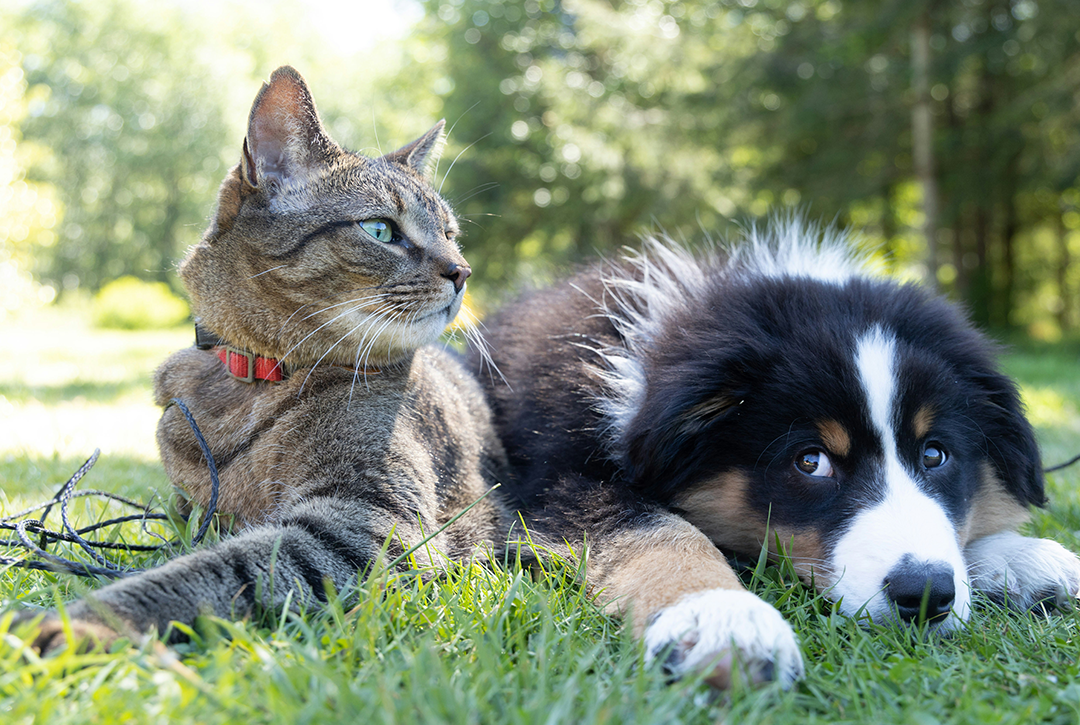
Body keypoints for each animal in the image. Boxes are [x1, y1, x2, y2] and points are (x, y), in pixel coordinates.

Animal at [14, 65, 507, 648]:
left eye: (451, 235)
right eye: (381, 229)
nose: (463, 271)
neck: (254, 379)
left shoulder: (368, 522)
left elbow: (212, 570)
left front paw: (84, 622)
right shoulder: (190, 511)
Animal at [477, 219, 1080, 691]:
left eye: (936, 455)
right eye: (810, 462)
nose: (925, 593)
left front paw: (1019, 557)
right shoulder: (554, 479)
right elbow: (658, 530)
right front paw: (722, 619)